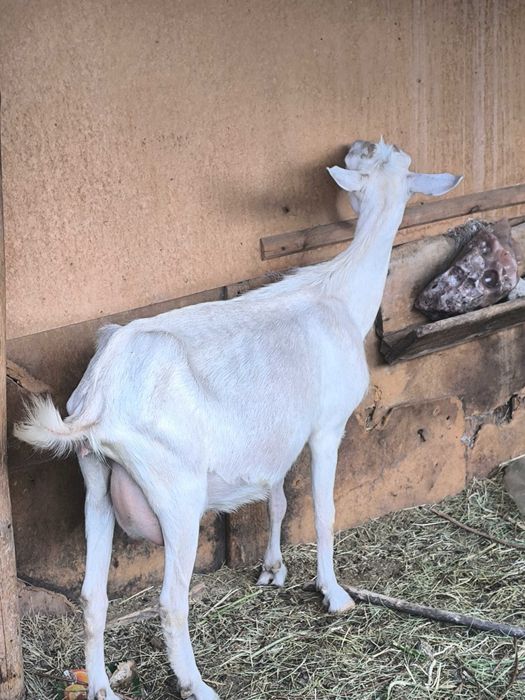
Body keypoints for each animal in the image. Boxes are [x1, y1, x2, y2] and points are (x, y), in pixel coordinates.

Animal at [14, 138, 462, 700]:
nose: (355, 144)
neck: (336, 293)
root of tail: (100, 397)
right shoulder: (326, 427)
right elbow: (323, 510)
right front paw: (334, 594)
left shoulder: (278, 442)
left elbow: (277, 499)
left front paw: (272, 570)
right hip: (177, 490)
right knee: (171, 600)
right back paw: (196, 685)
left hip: (95, 481)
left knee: (93, 597)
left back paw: (101, 687)